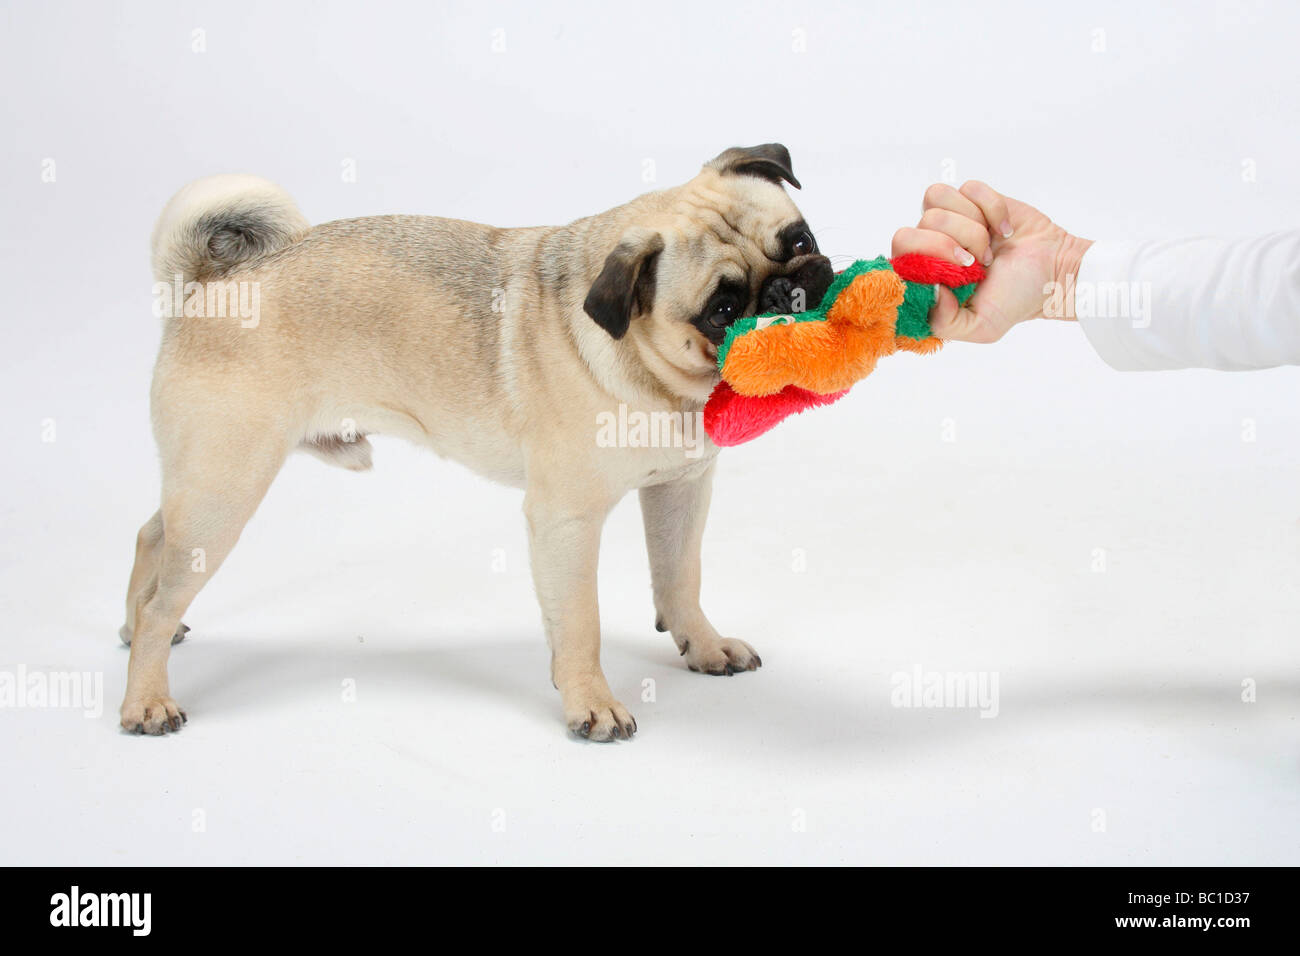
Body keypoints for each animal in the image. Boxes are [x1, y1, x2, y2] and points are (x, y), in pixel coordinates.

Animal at [122, 143, 832, 738]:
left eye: (802, 238)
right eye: (722, 310)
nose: (787, 288)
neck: (660, 379)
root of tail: (208, 286)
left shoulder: (680, 489)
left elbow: (680, 578)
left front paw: (704, 647)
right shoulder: (566, 521)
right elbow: (580, 622)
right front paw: (591, 703)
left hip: (204, 481)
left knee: (153, 537)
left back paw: (134, 632)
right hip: (225, 489)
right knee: (165, 590)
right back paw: (146, 697)